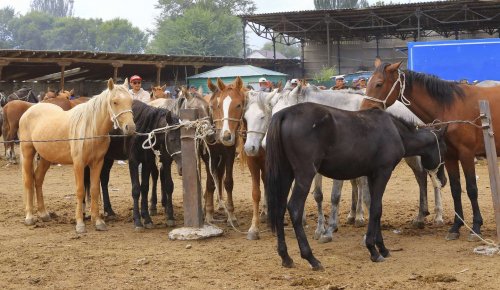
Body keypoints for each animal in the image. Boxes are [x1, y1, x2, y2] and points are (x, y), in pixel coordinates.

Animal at [18, 79, 136, 233]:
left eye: (131, 102)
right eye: (115, 102)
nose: (131, 128)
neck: (91, 129)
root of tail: (28, 111)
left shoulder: (97, 163)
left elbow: (94, 190)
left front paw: (98, 222)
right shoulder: (79, 164)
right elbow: (80, 191)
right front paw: (80, 224)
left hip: (46, 158)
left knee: (37, 180)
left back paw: (44, 214)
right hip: (27, 152)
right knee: (28, 181)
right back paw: (30, 217)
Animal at [204, 76, 247, 224]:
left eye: (239, 105)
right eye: (214, 106)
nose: (225, 136)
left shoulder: (229, 154)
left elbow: (228, 182)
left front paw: (231, 213)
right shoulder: (209, 156)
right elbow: (210, 183)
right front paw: (209, 213)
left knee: (220, 175)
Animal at [264, 103, 448, 270]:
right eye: (444, 149)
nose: (443, 180)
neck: (395, 132)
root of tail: (285, 113)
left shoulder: (372, 176)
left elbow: (374, 207)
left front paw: (382, 248)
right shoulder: (383, 173)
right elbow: (376, 209)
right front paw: (373, 250)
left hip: (286, 174)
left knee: (280, 209)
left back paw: (286, 257)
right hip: (305, 174)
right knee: (294, 208)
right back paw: (311, 258)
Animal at [360, 60, 500, 240]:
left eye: (379, 83)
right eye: (368, 83)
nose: (364, 111)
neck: (451, 107)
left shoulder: (466, 154)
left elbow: (471, 189)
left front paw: (476, 227)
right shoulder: (450, 156)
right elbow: (455, 189)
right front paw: (456, 227)